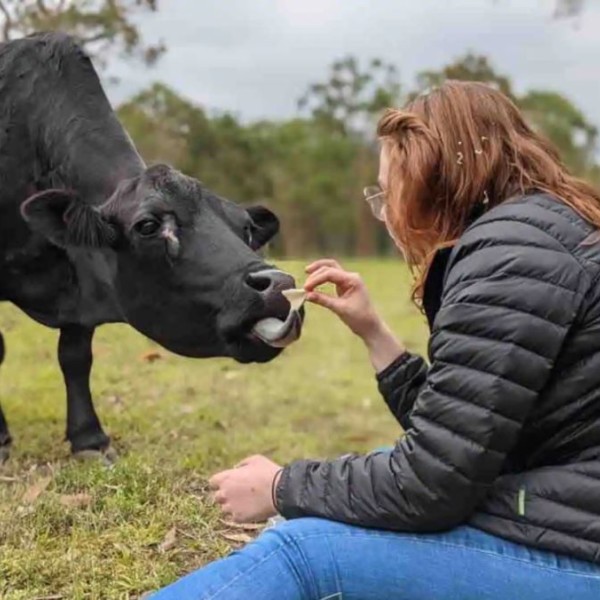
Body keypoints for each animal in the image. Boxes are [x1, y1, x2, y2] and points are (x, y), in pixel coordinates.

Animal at [0, 32, 302, 462]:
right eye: (148, 225)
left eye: (245, 228)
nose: (278, 284)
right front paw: (1, 438)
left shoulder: (83, 285)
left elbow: (75, 357)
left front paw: (89, 439)